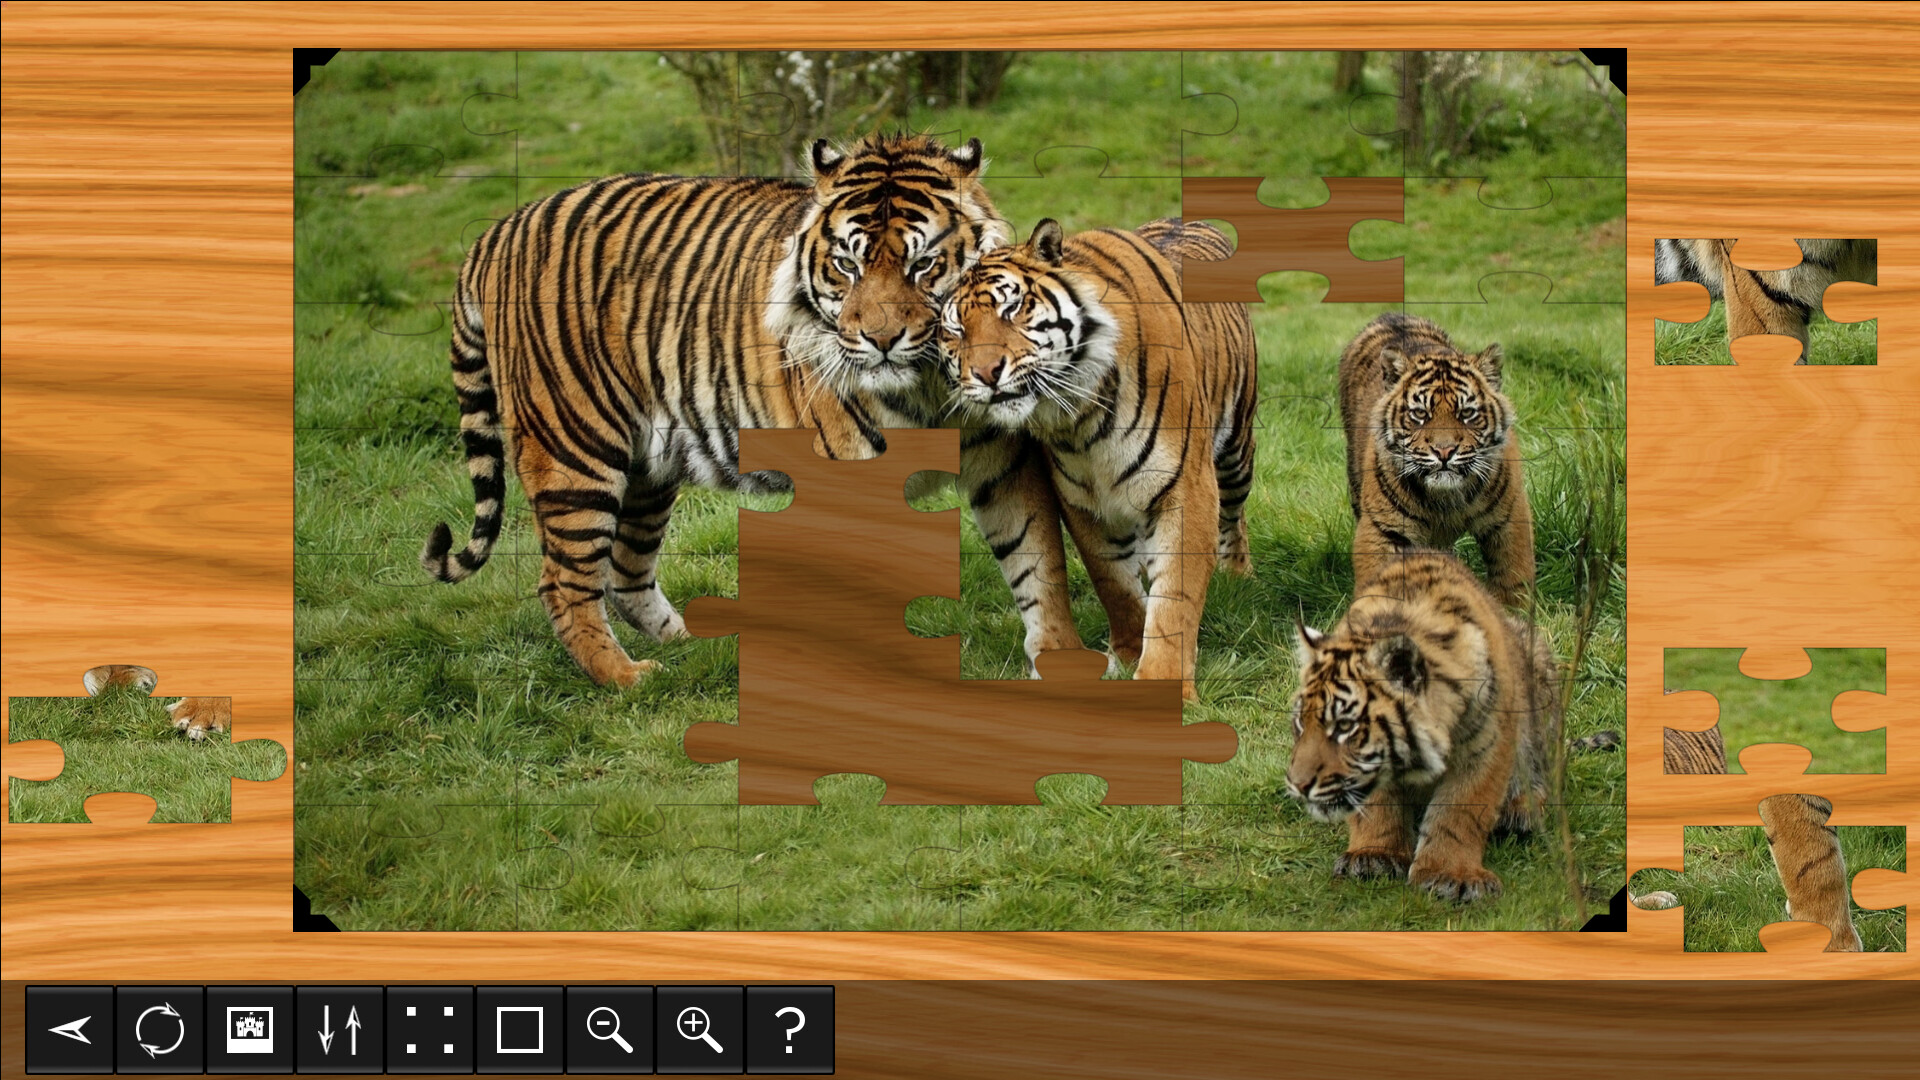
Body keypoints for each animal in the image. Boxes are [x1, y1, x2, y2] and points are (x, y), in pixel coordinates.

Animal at [420, 133, 1081, 688]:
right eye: (847, 265)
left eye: (923, 265)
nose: (880, 340)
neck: (931, 383)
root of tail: (497, 230)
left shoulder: (1005, 463)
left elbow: (1038, 561)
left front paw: (1061, 661)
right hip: (575, 450)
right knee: (563, 581)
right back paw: (626, 677)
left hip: (647, 466)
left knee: (626, 572)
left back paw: (698, 647)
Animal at [940, 217, 1258, 701]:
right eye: (956, 330)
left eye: (1012, 308)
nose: (985, 373)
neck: (1078, 418)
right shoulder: (1082, 500)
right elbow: (1114, 583)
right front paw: (1127, 653)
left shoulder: (1186, 488)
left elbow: (1174, 600)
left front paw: (1161, 679)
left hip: (1237, 451)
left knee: (1235, 516)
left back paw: (1239, 575)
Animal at [1285, 550, 1559, 902]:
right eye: (1300, 723)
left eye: (1345, 726)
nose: (1298, 785)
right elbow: (1377, 802)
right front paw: (1373, 855)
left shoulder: (1488, 743)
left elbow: (1460, 811)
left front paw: (1451, 874)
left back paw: (1518, 812)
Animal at [1339, 312, 1534, 607]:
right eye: (1420, 414)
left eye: (1467, 413)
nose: (1444, 451)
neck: (1445, 500)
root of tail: (1390, 315)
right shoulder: (1383, 530)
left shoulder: (1510, 519)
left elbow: (1512, 579)